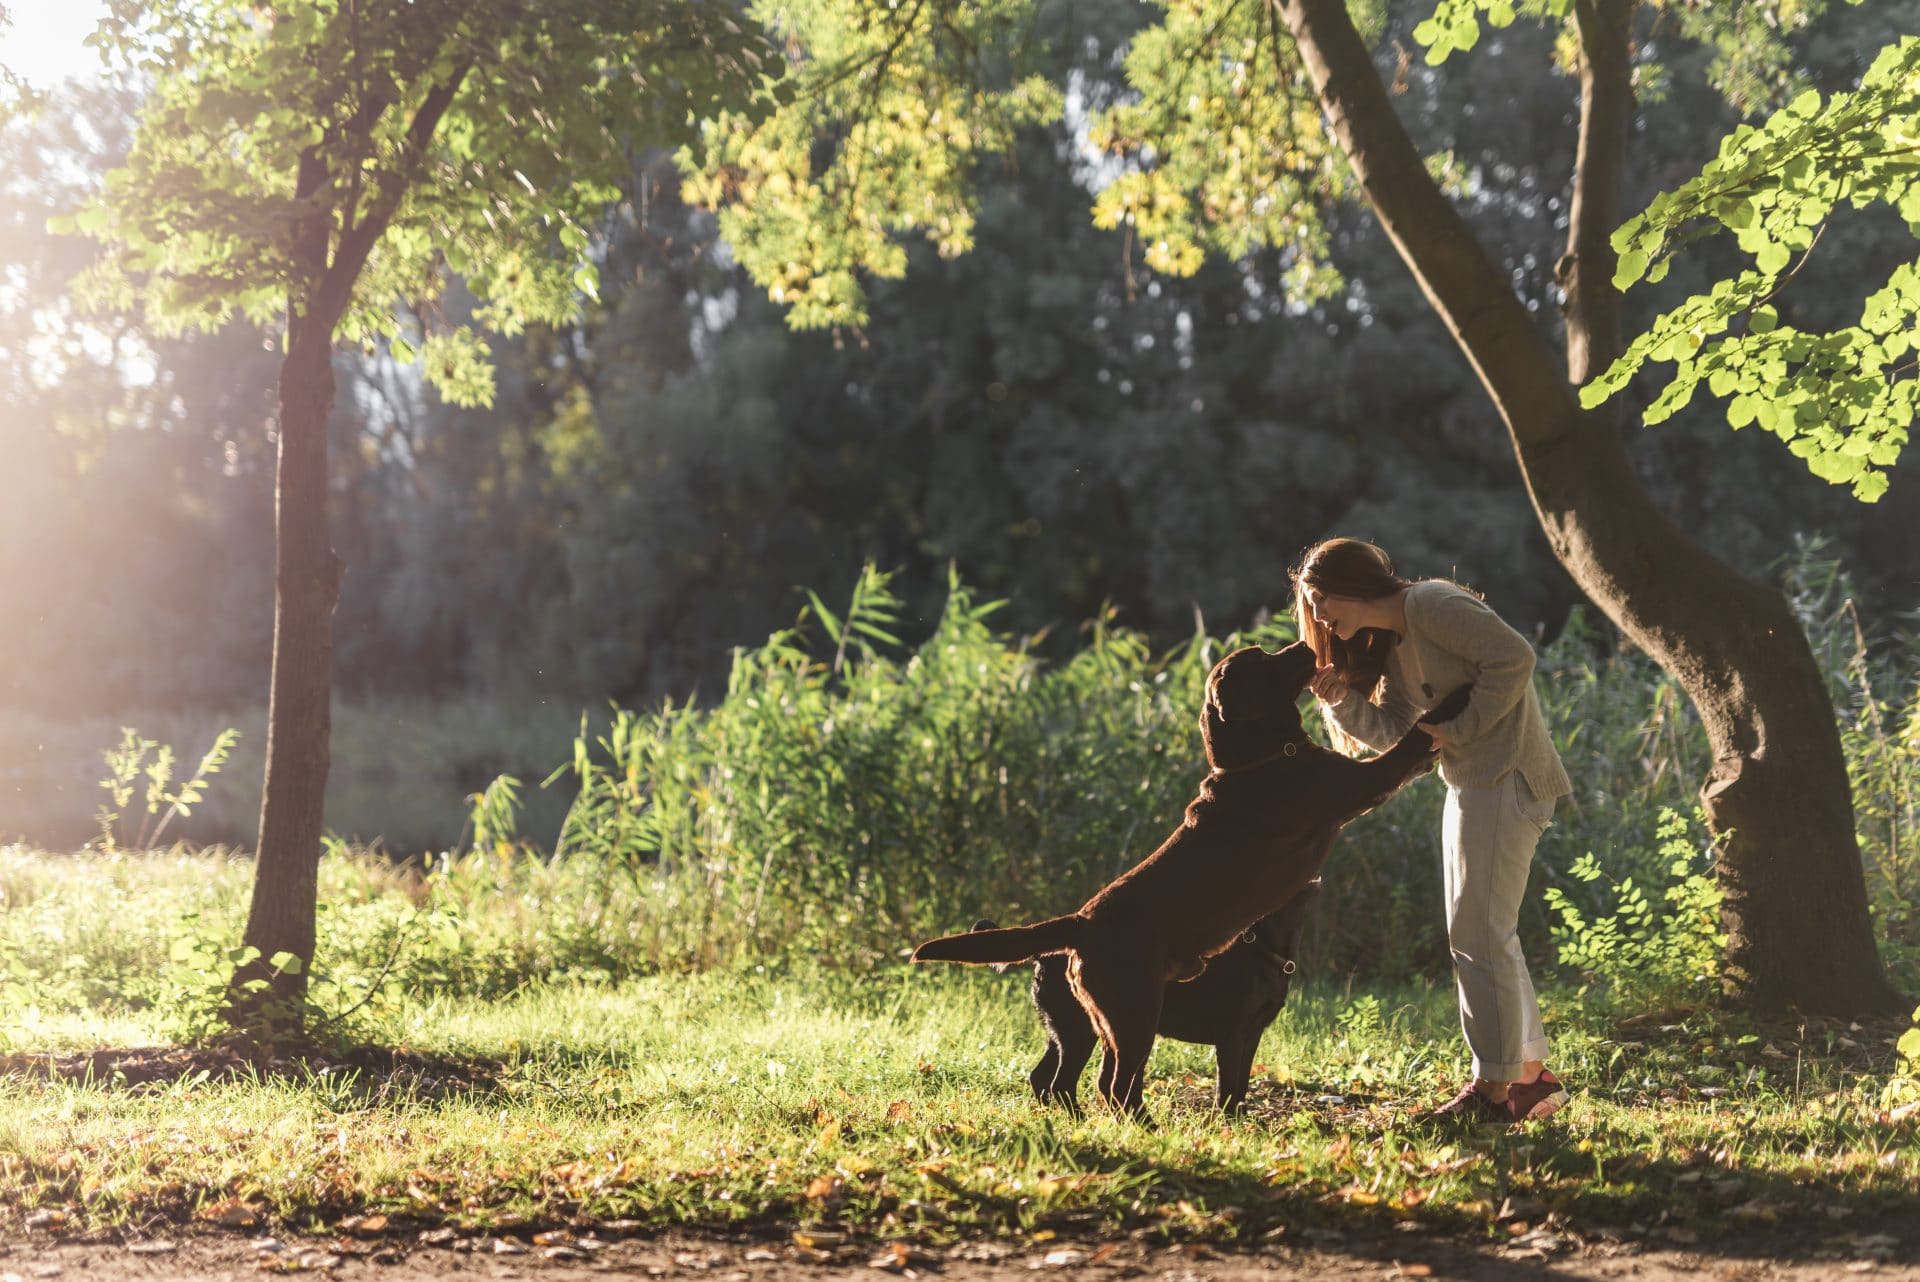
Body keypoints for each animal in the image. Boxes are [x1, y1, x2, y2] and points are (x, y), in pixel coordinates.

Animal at [906, 644, 1459, 1113]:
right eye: (1264, 660)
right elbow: (1409, 742)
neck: (1262, 757)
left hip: (1103, 1022)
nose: (1305, 645)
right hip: (1133, 1014)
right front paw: (1454, 700)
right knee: (1112, 1085)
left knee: (1076, 1081)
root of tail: (1080, 922)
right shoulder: (1357, 784)